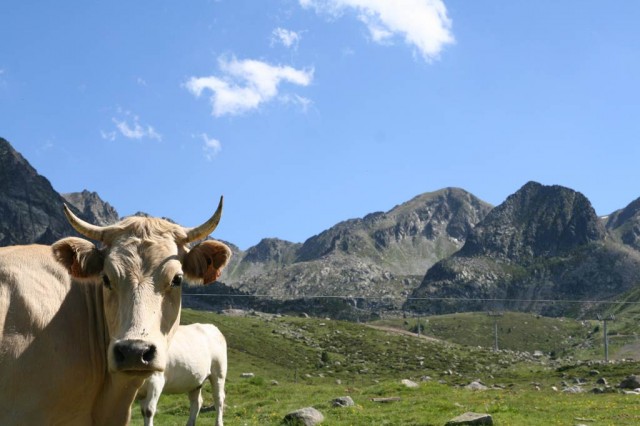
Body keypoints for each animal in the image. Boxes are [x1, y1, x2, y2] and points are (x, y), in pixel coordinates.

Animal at [0, 197, 231, 425]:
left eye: (177, 279)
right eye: (105, 278)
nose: (134, 351)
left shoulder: (156, 380)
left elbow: (149, 410)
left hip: (218, 372)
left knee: (218, 399)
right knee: (197, 400)